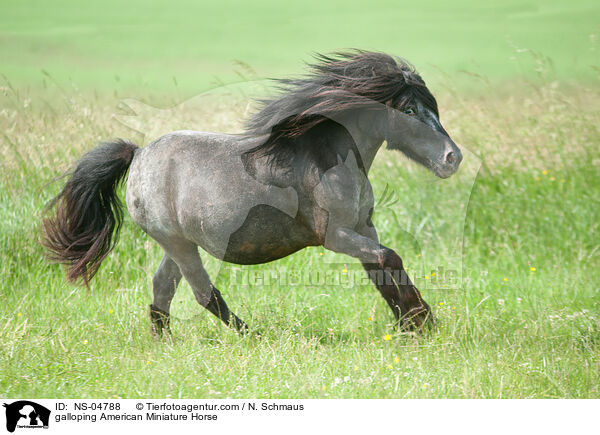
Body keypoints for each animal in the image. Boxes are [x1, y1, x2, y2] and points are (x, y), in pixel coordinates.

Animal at [42, 51, 464, 338]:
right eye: (409, 110)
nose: (453, 157)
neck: (328, 159)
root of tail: (138, 153)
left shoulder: (364, 227)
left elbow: (383, 269)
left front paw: (415, 323)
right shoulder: (336, 236)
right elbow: (388, 258)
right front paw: (421, 319)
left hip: (176, 243)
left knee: (162, 288)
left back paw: (163, 343)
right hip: (177, 243)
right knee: (203, 293)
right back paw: (253, 336)